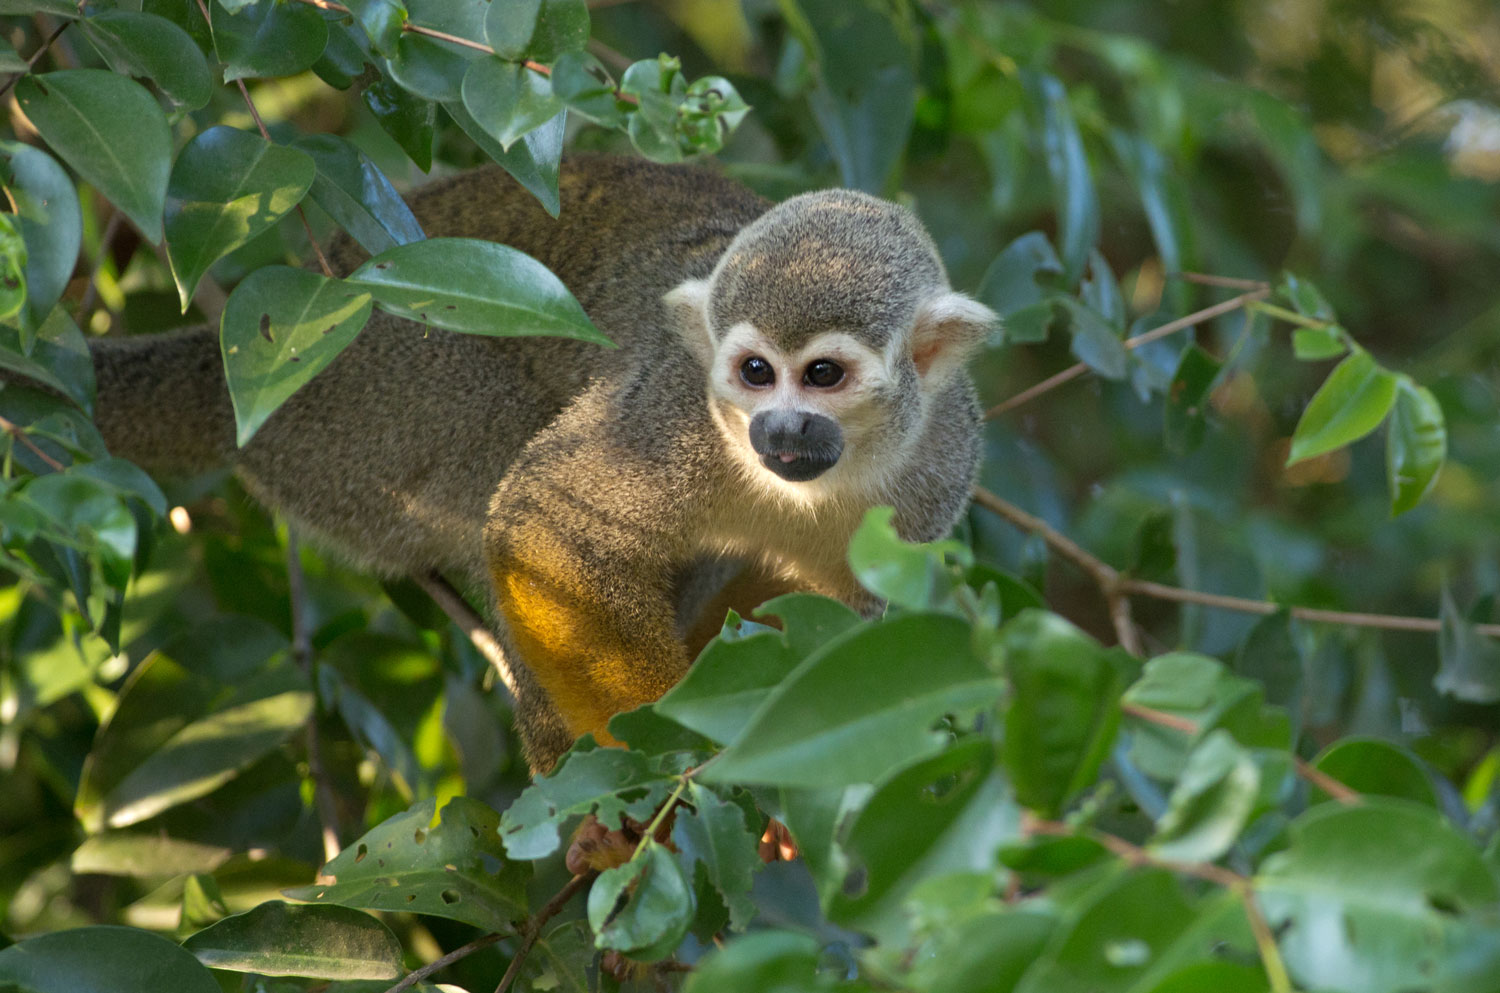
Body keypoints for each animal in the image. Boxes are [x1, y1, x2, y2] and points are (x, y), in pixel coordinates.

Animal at [67, 156, 997, 772]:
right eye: (756, 373)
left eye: (824, 375)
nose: (779, 430)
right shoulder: (673, 412)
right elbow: (548, 522)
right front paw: (674, 741)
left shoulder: (938, 472)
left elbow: (837, 619)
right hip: (353, 395)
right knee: (498, 457)